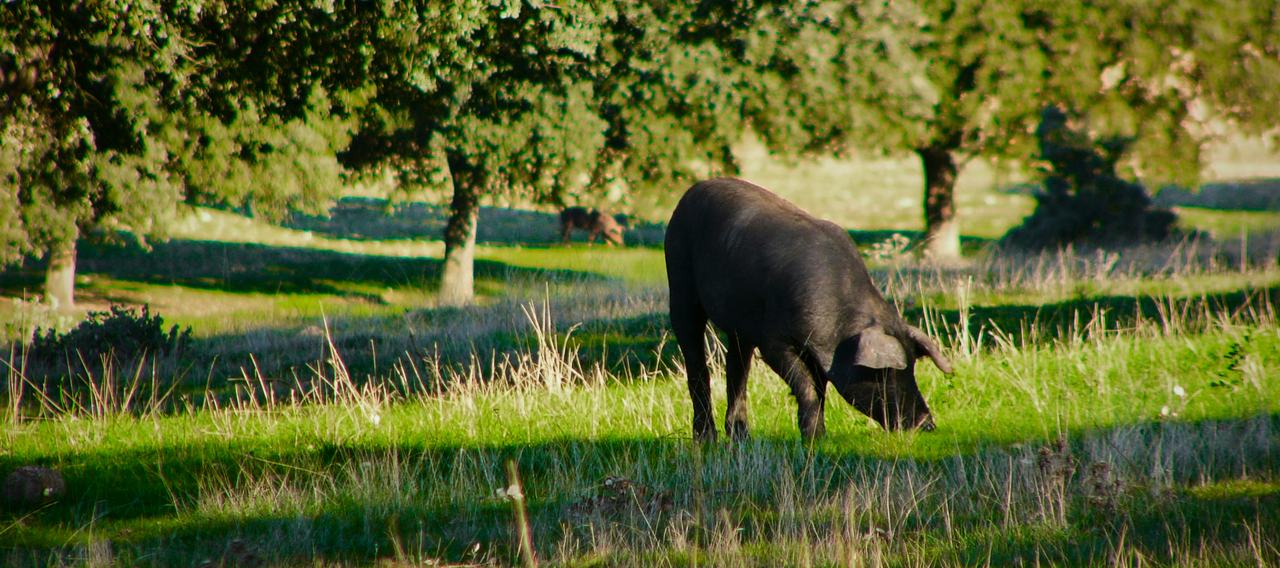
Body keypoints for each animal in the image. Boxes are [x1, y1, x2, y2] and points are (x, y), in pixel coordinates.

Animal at [664, 178, 953, 441]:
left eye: (912, 368)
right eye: (887, 374)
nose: (927, 424)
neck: (840, 326)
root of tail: (693, 190)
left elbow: (820, 389)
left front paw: (819, 437)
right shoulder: (774, 341)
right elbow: (806, 387)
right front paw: (813, 438)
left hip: (740, 325)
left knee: (737, 368)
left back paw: (741, 437)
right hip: (679, 277)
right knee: (695, 357)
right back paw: (706, 439)